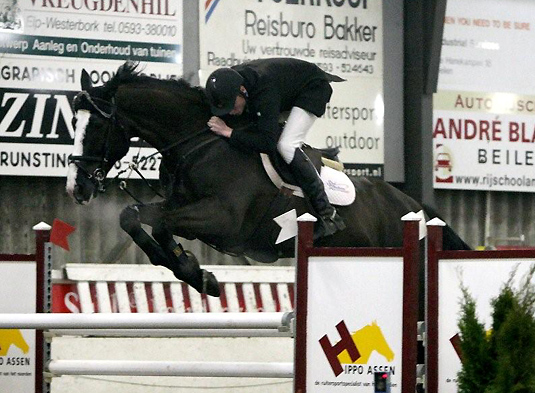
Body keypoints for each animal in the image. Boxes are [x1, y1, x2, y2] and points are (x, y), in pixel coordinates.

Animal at [66, 62, 468, 298]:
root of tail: (415, 207)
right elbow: (133, 217)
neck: (200, 142)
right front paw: (196, 273)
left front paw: (195, 272)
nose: (77, 188)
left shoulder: (222, 220)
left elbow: (156, 222)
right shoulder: (179, 205)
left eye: (96, 126)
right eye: (72, 122)